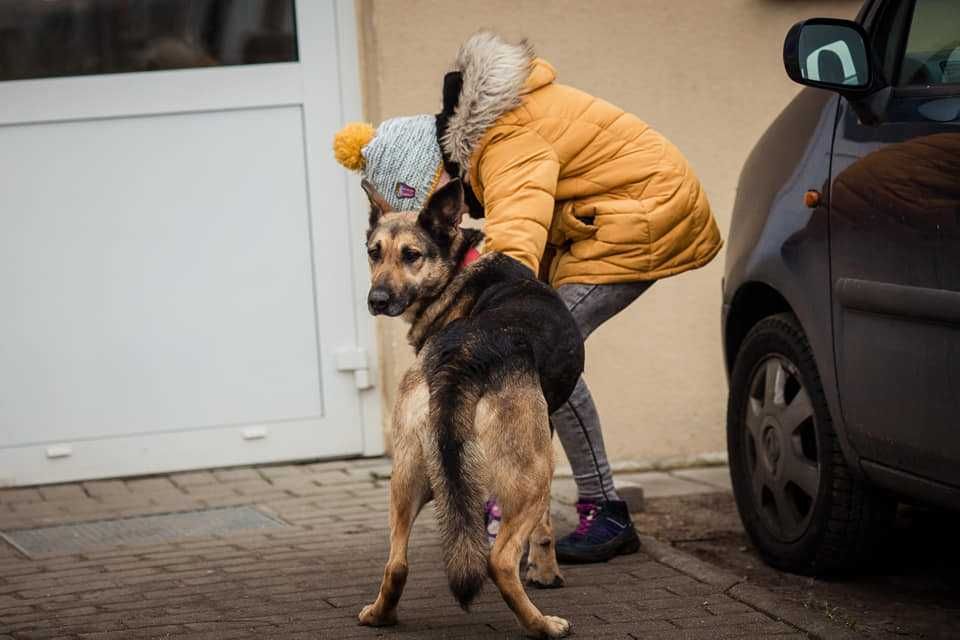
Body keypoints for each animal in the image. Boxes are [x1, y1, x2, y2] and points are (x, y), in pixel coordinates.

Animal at [356, 178, 584, 636]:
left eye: (411, 255)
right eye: (374, 252)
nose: (377, 299)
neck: (458, 271)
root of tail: (465, 355)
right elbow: (539, 528)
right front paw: (544, 571)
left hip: (410, 473)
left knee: (396, 562)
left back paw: (380, 614)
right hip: (536, 473)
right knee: (499, 561)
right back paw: (542, 624)